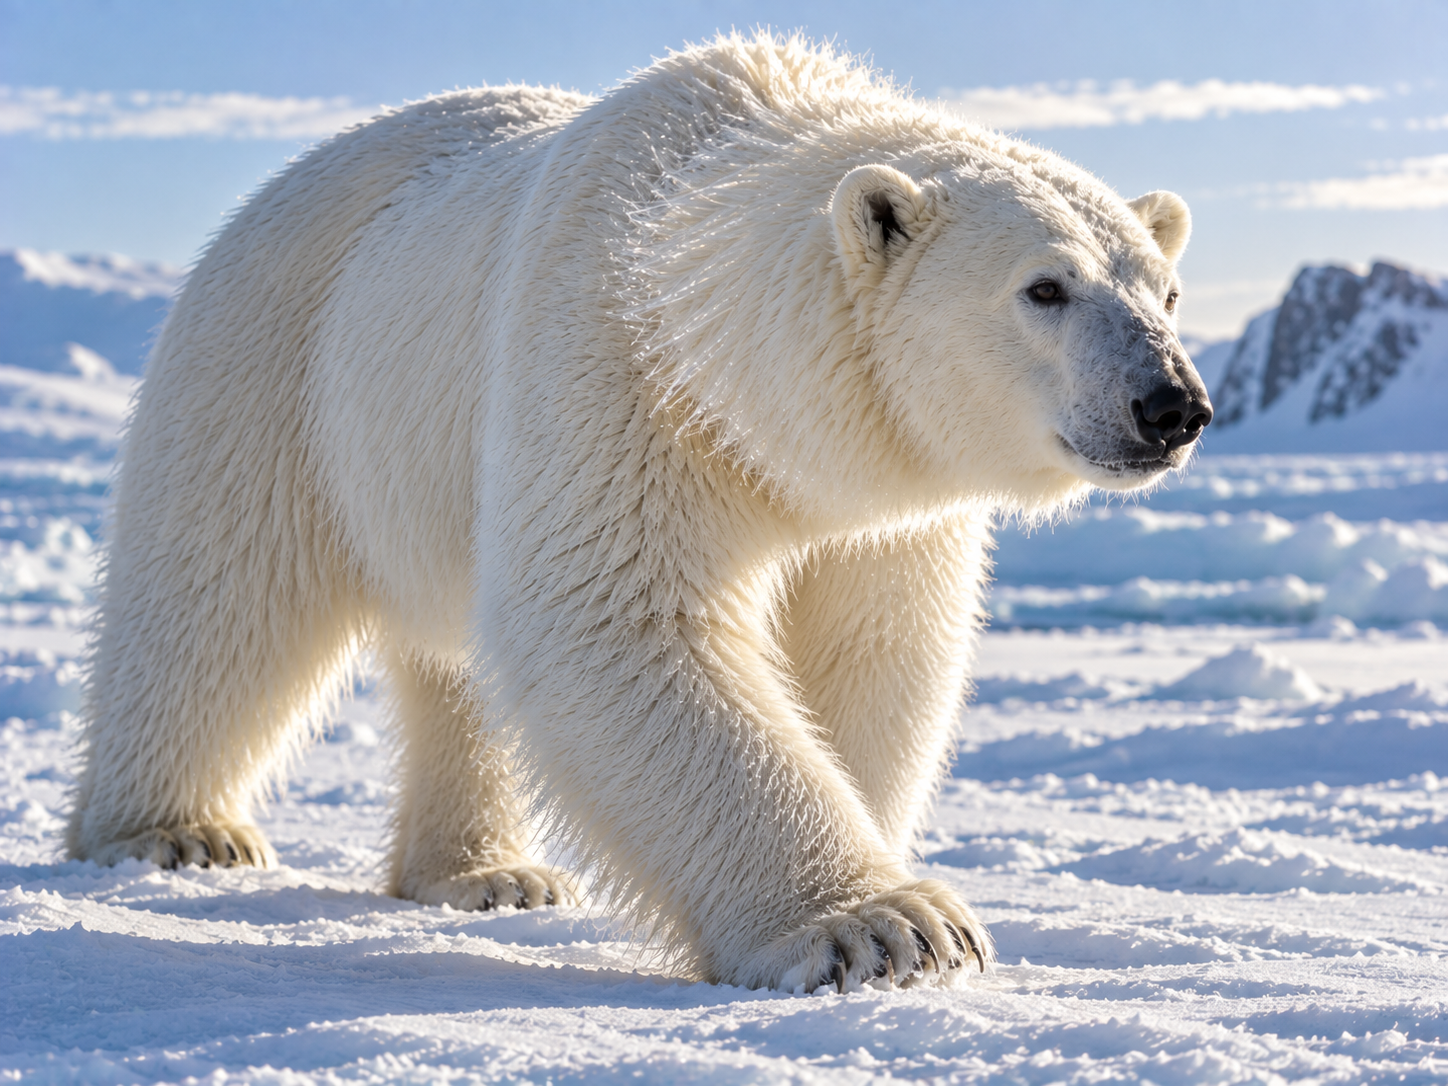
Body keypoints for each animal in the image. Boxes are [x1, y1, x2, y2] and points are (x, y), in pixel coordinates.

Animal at [67, 33, 1211, 993]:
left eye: (1163, 290)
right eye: (1044, 288)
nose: (1172, 406)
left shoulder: (881, 499)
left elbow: (873, 648)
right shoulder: (619, 375)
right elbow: (619, 615)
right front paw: (880, 928)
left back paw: (485, 874)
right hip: (277, 363)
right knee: (219, 596)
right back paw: (175, 833)